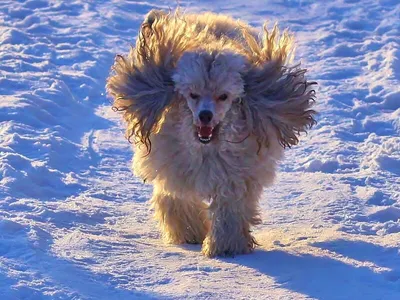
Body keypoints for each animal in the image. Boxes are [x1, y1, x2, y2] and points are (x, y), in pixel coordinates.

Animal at [105, 9, 316, 258]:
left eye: (223, 96)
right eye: (193, 94)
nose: (205, 115)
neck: (205, 147)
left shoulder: (234, 176)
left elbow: (229, 209)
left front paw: (224, 246)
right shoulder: (175, 169)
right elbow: (177, 199)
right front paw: (190, 233)